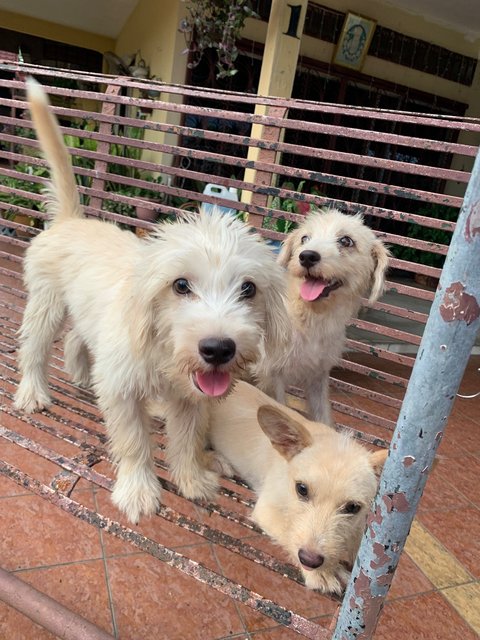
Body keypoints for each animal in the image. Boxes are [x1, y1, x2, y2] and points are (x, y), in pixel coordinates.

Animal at [14, 77, 288, 524]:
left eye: (248, 289)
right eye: (180, 285)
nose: (218, 349)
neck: (164, 352)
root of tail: (72, 219)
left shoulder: (191, 399)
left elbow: (187, 439)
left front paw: (192, 479)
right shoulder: (123, 391)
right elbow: (133, 443)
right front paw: (139, 490)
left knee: (76, 339)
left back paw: (80, 373)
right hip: (45, 304)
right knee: (34, 348)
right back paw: (32, 392)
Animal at [208, 380, 388, 596]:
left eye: (352, 507)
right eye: (302, 489)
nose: (310, 560)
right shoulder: (266, 509)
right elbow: (289, 532)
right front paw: (324, 572)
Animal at [256, 210, 388, 428]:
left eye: (346, 240)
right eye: (304, 238)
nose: (307, 256)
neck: (311, 319)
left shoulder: (318, 376)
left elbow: (323, 416)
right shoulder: (269, 375)